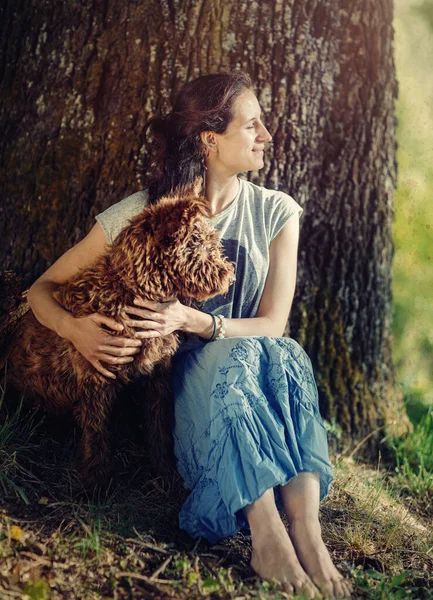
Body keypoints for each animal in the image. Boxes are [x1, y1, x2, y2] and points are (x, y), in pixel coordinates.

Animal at [8, 189, 235, 492]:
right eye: (202, 243)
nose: (229, 274)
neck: (130, 289)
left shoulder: (157, 376)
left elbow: (159, 425)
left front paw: (165, 471)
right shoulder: (95, 377)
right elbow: (96, 433)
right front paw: (95, 481)